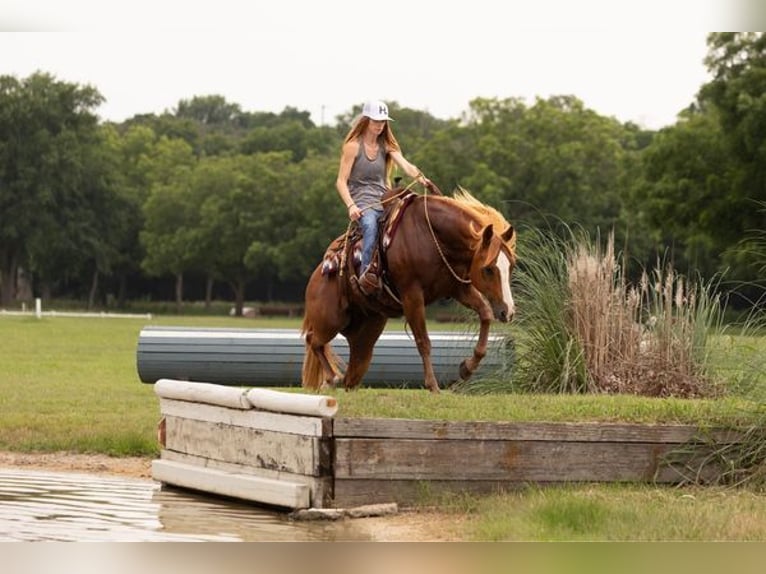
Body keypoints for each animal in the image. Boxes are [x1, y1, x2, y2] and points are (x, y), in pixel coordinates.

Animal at [301, 184, 517, 393]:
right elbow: (423, 341)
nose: (508, 311)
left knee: (355, 361)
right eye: (488, 269)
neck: (432, 236)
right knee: (314, 340)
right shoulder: (412, 296)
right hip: (331, 320)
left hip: (367, 329)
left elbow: (485, 314)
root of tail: (319, 273)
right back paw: (331, 378)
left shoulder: (458, 289)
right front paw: (433, 386)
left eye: (511, 266)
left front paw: (466, 368)